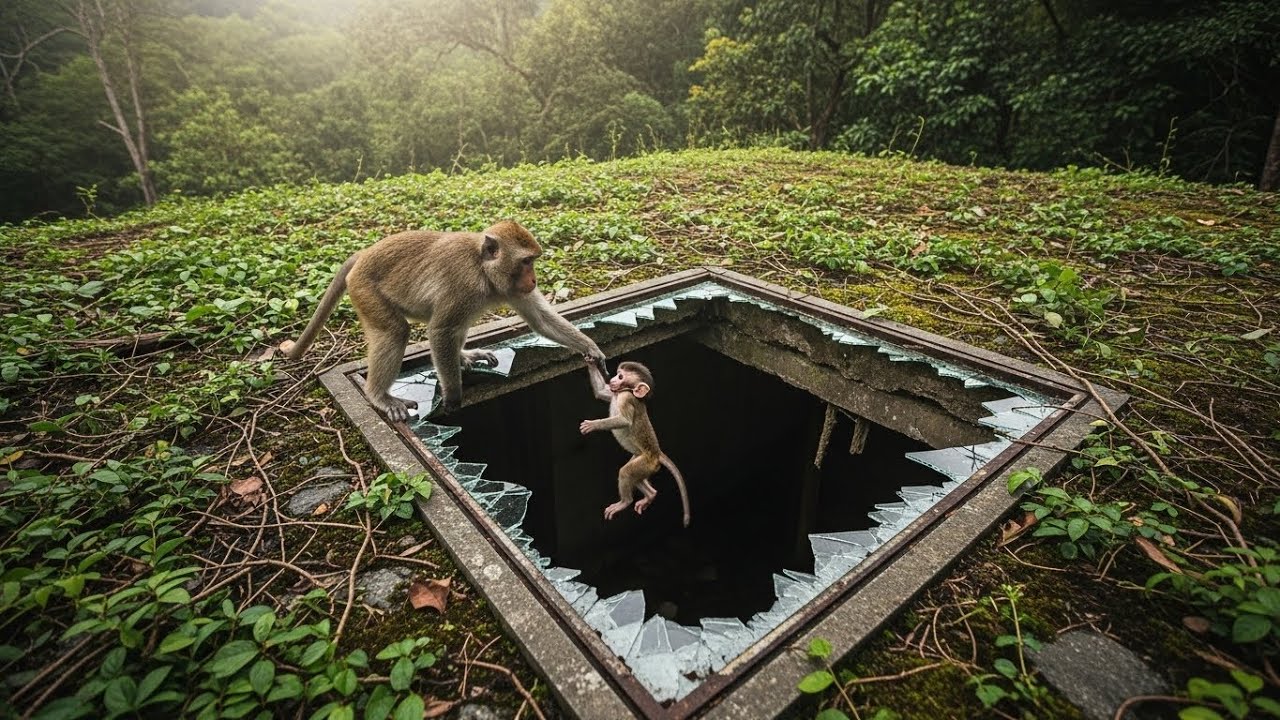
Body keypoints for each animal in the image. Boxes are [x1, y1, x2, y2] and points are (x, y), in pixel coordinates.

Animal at [281, 220, 605, 421]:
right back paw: (379, 396)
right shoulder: (464, 285)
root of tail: (363, 255)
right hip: (365, 290)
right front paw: (452, 396)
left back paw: (463, 355)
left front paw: (590, 348)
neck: (482, 269)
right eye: (526, 261)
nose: (534, 279)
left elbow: (540, 319)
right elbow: (440, 331)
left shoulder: (510, 288)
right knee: (396, 331)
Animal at [579, 359, 690, 527]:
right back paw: (650, 495)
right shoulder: (615, 393)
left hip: (646, 462)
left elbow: (623, 420)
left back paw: (625, 502)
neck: (625, 392)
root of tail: (657, 453)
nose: (612, 379)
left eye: (620, 376)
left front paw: (593, 424)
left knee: (626, 472)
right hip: (641, 460)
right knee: (636, 477)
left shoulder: (626, 398)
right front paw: (591, 362)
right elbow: (601, 392)